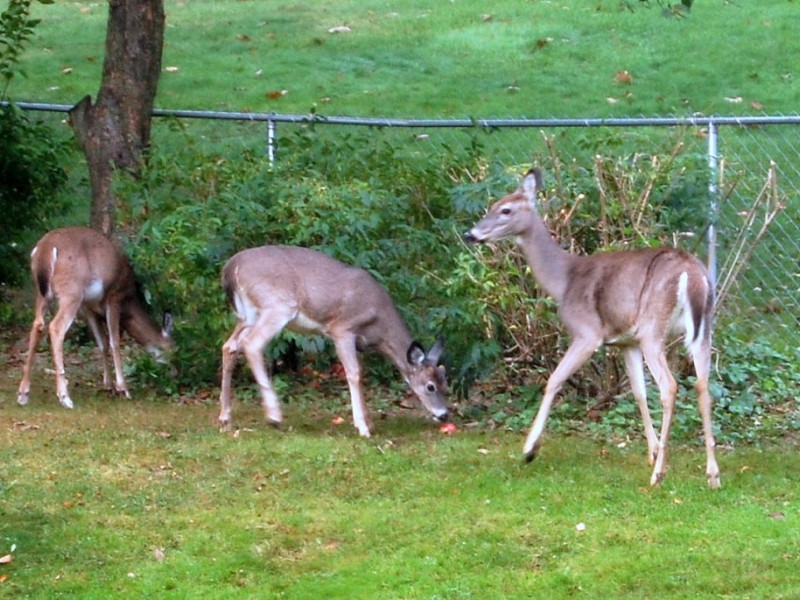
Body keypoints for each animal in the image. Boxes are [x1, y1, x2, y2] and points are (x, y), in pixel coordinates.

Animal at [17, 227, 173, 410]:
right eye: (173, 349)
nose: (175, 372)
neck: (130, 302)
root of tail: (45, 249)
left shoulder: (88, 308)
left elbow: (102, 343)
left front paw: (108, 386)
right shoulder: (114, 297)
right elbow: (114, 342)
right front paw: (123, 389)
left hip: (43, 294)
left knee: (37, 325)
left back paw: (23, 394)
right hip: (71, 292)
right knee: (55, 327)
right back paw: (65, 397)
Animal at [217, 244, 450, 436]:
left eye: (445, 382)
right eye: (430, 386)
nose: (444, 414)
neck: (379, 328)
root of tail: (231, 266)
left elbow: (359, 373)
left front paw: (368, 422)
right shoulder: (342, 329)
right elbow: (354, 373)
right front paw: (363, 427)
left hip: (247, 315)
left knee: (229, 346)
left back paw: (225, 419)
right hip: (277, 305)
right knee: (251, 344)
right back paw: (274, 416)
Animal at [462, 168, 720, 488]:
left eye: (505, 210)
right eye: (492, 205)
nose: (470, 234)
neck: (564, 281)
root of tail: (693, 275)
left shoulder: (588, 333)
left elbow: (554, 380)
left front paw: (530, 448)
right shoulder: (626, 342)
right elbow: (638, 392)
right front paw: (651, 450)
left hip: (653, 328)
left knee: (670, 387)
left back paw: (659, 474)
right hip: (702, 328)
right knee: (703, 384)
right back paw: (712, 474)